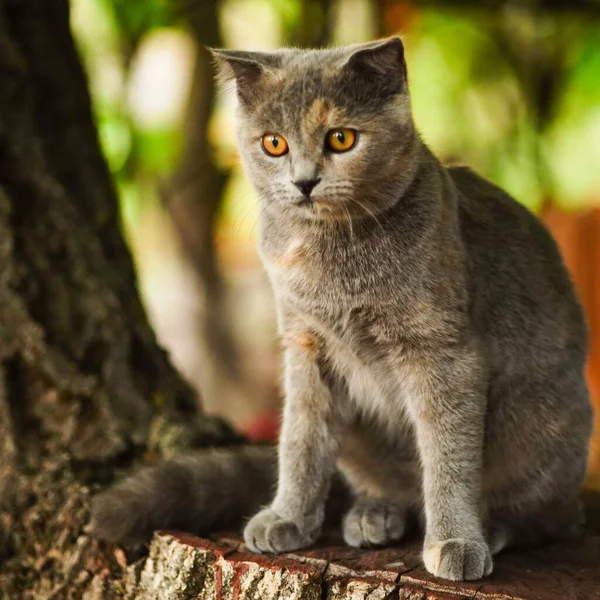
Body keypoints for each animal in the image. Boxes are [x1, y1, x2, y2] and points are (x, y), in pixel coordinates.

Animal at [91, 37, 592, 580]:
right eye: (274, 143)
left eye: (341, 138)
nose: (304, 181)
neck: (330, 257)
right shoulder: (305, 346)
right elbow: (301, 439)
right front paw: (287, 518)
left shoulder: (444, 352)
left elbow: (448, 454)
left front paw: (456, 541)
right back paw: (373, 514)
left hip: (547, 426)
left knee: (552, 516)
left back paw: (494, 528)